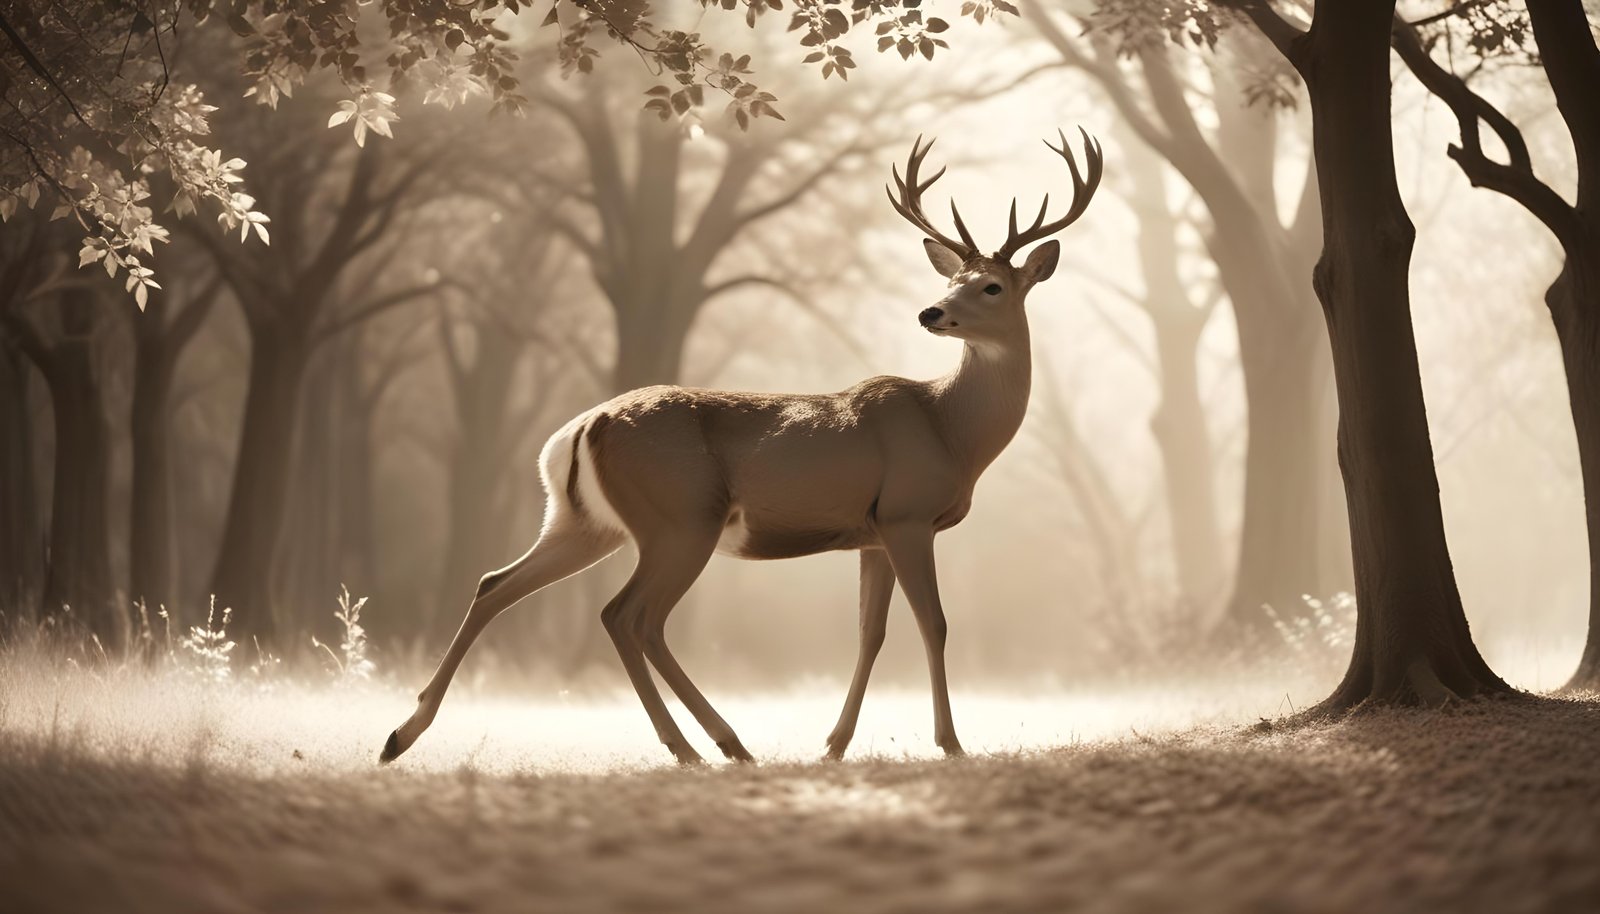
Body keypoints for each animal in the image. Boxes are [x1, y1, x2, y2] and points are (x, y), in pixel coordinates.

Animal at [380, 128, 1103, 766]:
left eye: (991, 285)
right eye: (955, 281)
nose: (932, 312)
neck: (950, 426)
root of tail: (584, 427)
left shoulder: (871, 534)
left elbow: (870, 633)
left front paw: (834, 744)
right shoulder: (907, 515)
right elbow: (935, 624)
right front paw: (950, 742)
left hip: (585, 522)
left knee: (497, 585)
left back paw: (401, 736)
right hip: (679, 518)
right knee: (630, 615)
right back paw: (714, 744)